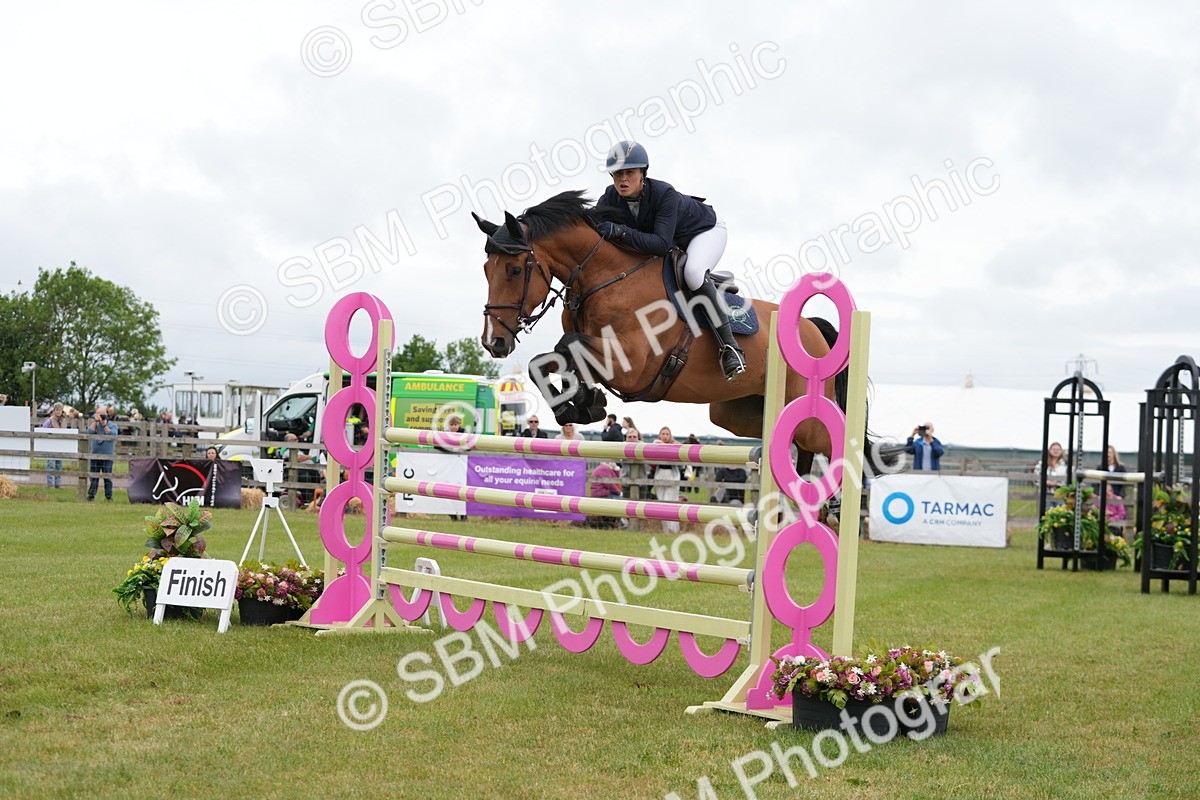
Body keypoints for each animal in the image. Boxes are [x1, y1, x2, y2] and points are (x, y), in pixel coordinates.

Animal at [474, 190, 881, 473]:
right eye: (485, 269)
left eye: (514, 270)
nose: (494, 342)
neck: (604, 277)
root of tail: (812, 327)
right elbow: (547, 360)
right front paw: (584, 404)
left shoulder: (633, 365)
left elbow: (568, 344)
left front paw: (585, 403)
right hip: (734, 412)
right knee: (791, 440)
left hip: (802, 410)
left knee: (831, 439)